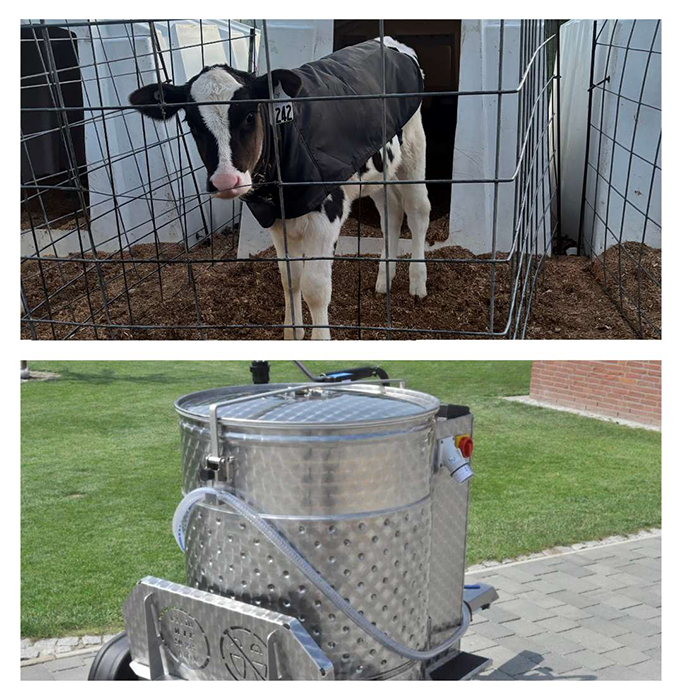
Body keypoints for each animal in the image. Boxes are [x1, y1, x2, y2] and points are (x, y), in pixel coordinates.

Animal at [129, 38, 430, 339]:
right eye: (191, 122)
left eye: (250, 115)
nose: (226, 180)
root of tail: (387, 42)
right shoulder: (277, 220)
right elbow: (289, 278)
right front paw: (293, 333)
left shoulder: (326, 216)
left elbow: (314, 288)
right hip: (380, 168)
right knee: (391, 213)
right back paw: (384, 279)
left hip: (414, 147)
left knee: (417, 211)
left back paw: (418, 283)